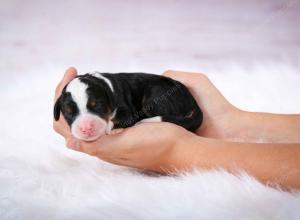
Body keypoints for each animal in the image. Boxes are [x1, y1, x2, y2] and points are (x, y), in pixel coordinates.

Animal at [54, 72, 204, 141]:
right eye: (69, 112)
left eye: (98, 106)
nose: (86, 128)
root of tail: (192, 101)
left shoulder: (127, 111)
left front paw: (110, 128)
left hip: (155, 94)